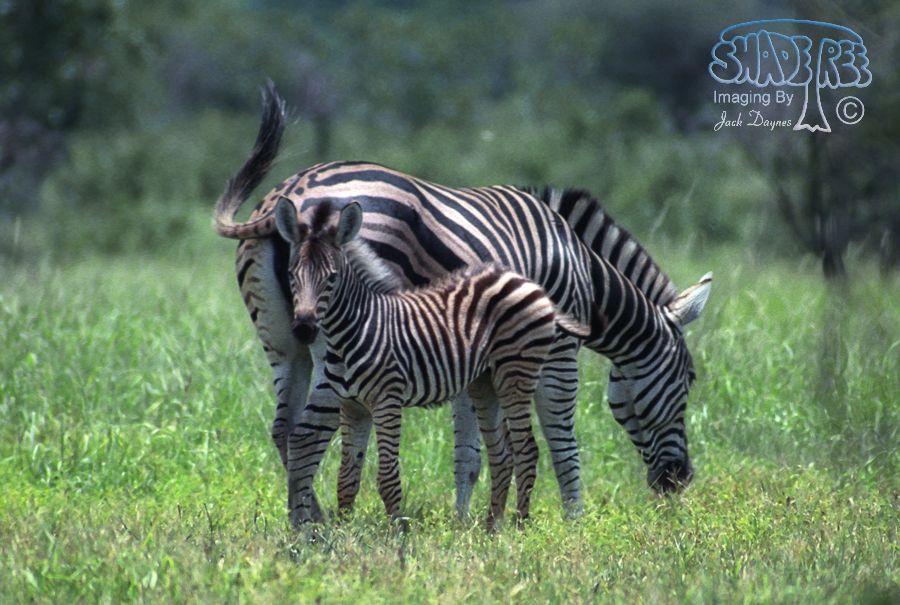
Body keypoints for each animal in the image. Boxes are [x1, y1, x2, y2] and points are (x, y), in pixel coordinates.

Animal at [271, 197, 590, 527]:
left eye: (332, 278)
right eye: (292, 274)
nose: (304, 329)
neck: (354, 330)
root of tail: (524, 280)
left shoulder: (387, 401)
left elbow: (387, 477)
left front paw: (397, 530)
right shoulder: (352, 406)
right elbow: (346, 479)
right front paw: (345, 530)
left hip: (516, 372)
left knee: (527, 449)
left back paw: (520, 524)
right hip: (484, 382)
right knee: (502, 454)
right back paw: (492, 527)